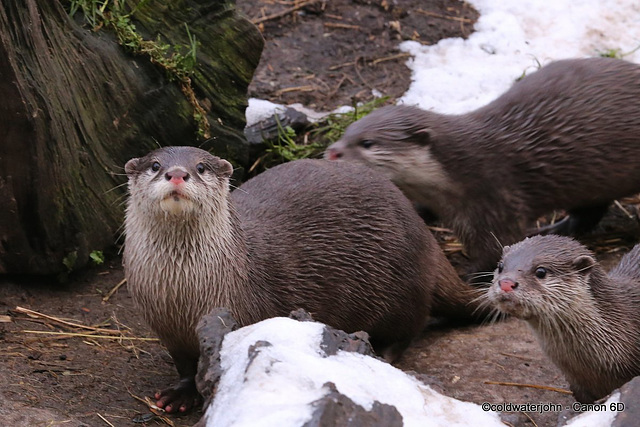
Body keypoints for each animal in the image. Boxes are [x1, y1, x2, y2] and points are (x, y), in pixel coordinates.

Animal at [122, 147, 484, 414]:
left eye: (200, 167)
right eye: (155, 165)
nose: (177, 173)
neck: (183, 295)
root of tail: (426, 238)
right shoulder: (166, 328)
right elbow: (183, 365)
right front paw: (178, 394)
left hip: (399, 285)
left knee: (410, 326)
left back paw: (380, 353)